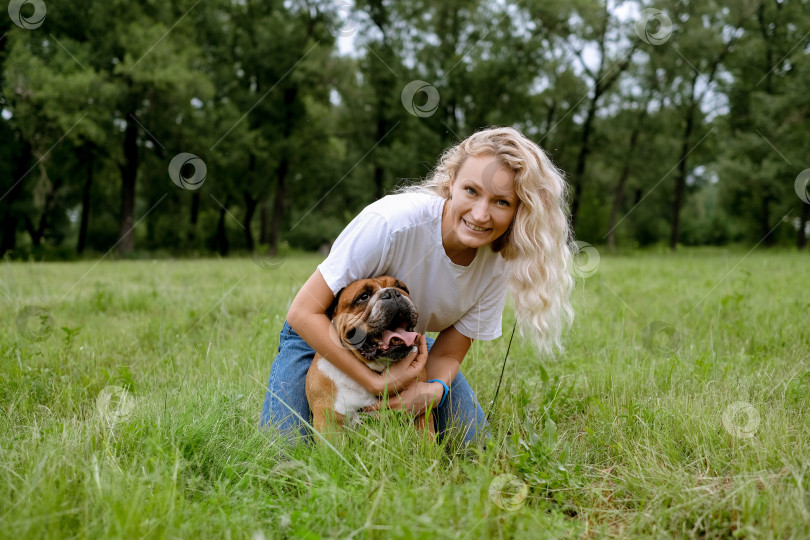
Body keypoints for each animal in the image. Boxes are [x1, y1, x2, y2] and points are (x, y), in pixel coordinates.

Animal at [304, 276, 432, 436]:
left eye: (402, 288)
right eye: (363, 296)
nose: (393, 293)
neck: (375, 369)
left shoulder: (421, 412)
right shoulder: (328, 420)